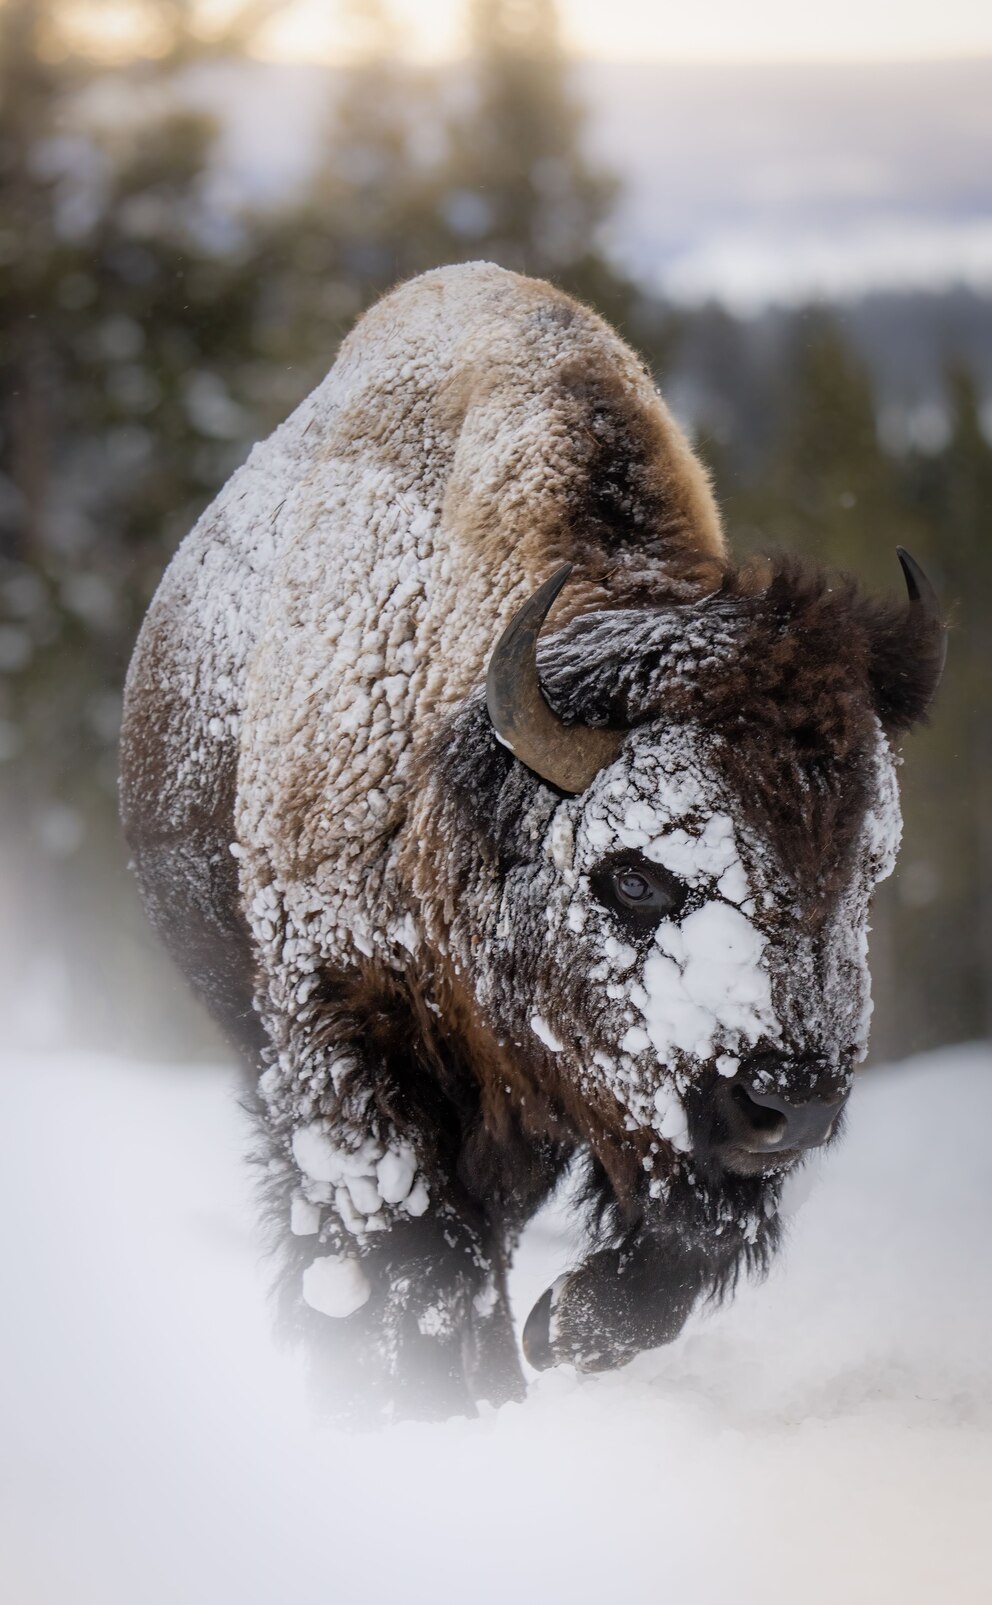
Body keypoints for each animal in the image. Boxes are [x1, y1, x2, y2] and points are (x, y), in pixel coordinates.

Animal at [119, 260, 937, 1418]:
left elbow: (652, 1258)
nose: (792, 1103)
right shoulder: (341, 1027)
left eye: (866, 871)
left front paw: (554, 1334)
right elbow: (411, 1247)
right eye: (634, 879)